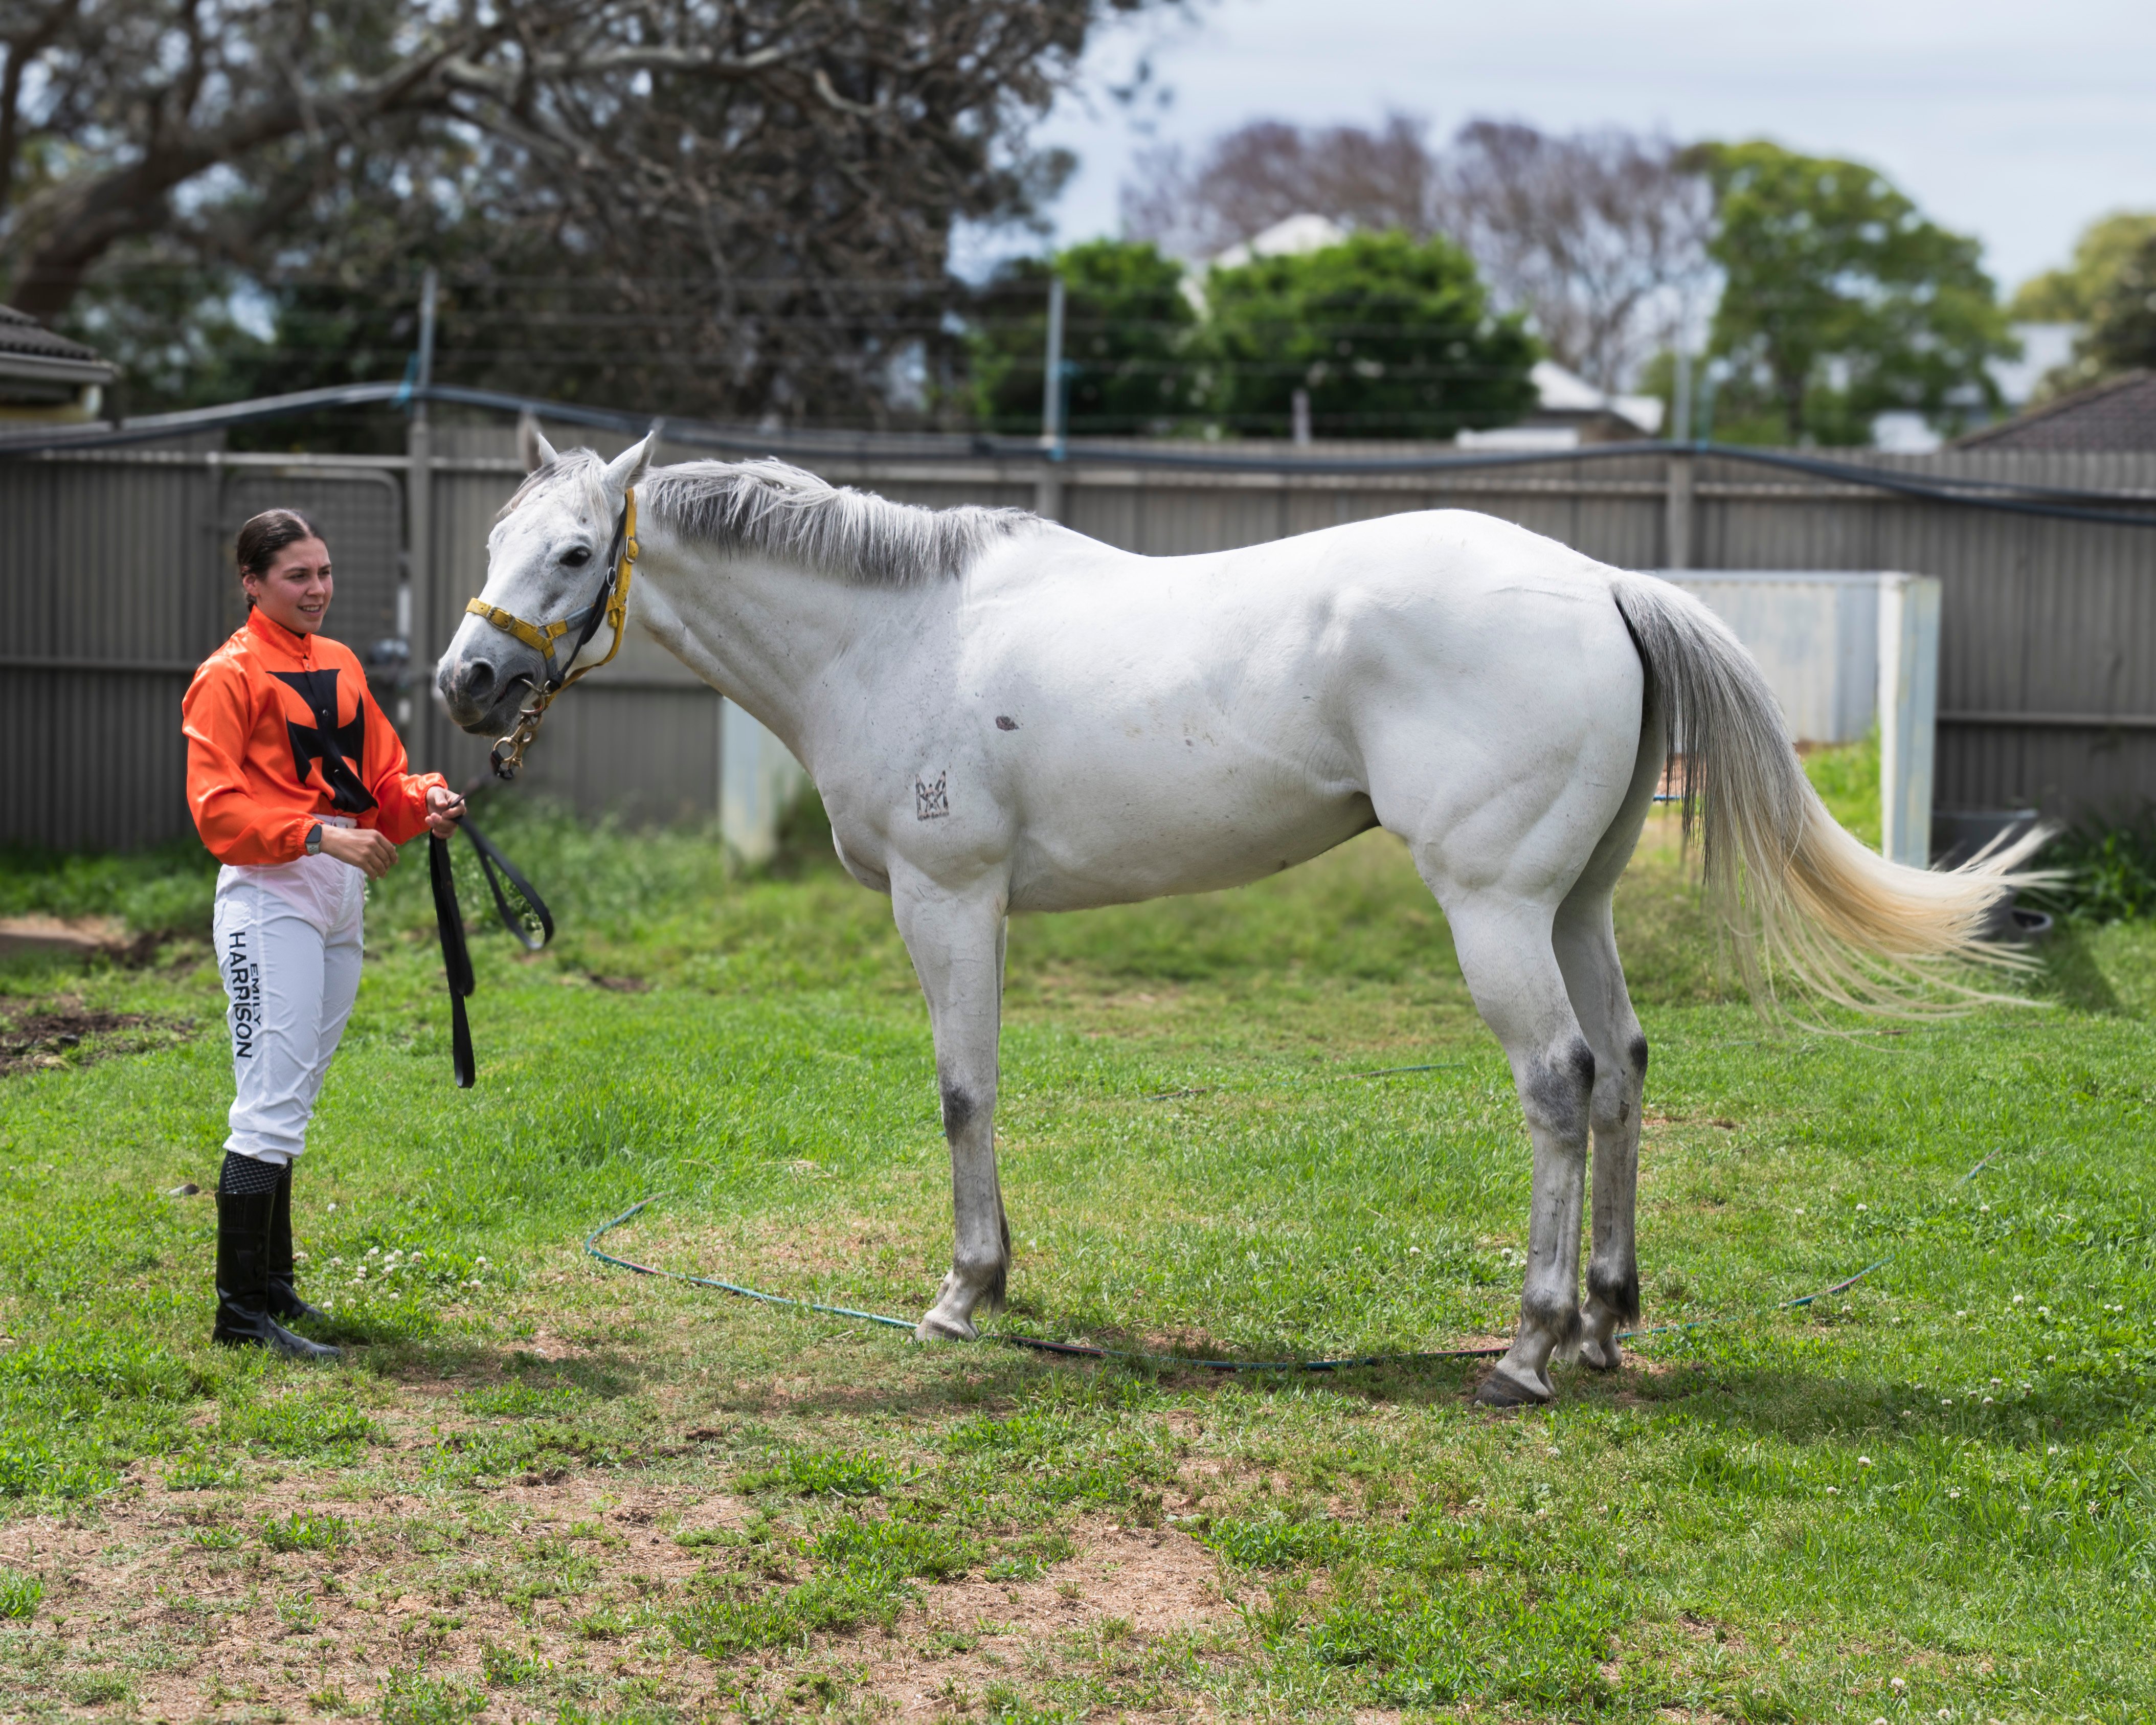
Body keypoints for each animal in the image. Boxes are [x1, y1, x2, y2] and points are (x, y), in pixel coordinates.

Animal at [436, 432, 2042, 1407]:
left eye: (574, 554)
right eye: (499, 531)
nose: (463, 682)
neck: (897, 634)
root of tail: (1602, 582)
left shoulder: (948, 898)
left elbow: (962, 1090)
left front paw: (963, 1294)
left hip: (1495, 911)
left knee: (1557, 1081)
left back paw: (1525, 1348)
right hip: (1573, 903)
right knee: (1627, 1067)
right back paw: (1602, 1319)